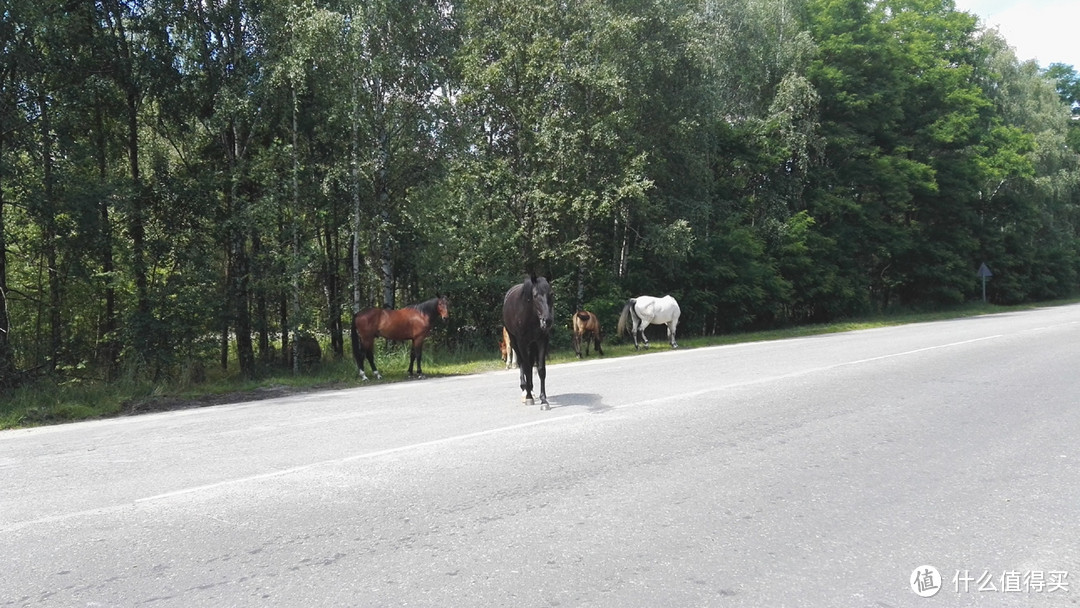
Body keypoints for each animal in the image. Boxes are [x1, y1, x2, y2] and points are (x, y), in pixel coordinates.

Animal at [501, 276, 552, 408]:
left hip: (532, 344)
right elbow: (526, 367)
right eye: (535, 295)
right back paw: (525, 390)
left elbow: (540, 369)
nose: (547, 320)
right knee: (521, 362)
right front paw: (528, 397)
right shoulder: (521, 342)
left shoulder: (542, 340)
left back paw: (531, 389)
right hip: (514, 341)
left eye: (551, 294)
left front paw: (544, 400)